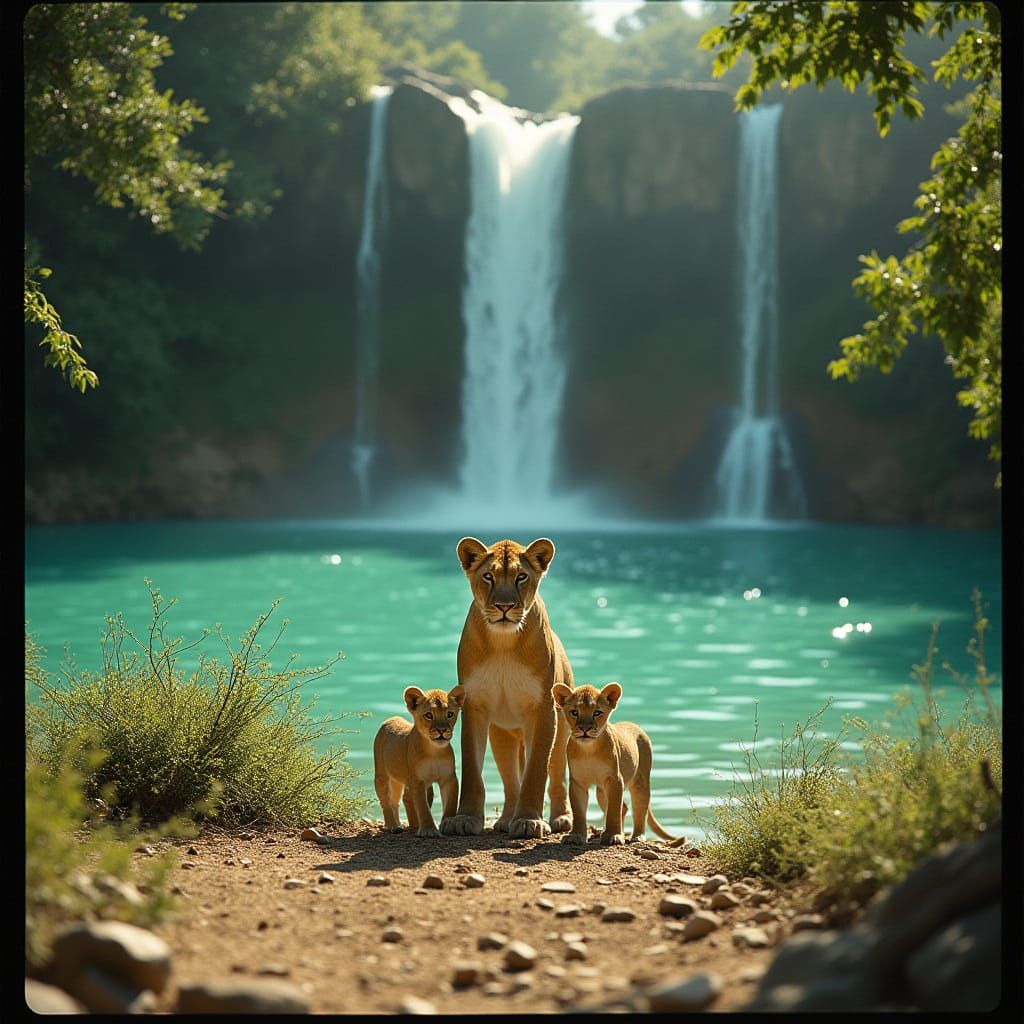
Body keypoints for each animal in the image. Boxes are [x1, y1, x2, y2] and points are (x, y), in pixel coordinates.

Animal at [373, 685, 465, 837]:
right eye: (429, 715)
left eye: (450, 714)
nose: (442, 731)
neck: (434, 751)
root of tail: (391, 718)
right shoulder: (418, 780)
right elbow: (423, 807)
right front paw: (429, 830)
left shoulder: (449, 778)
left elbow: (450, 803)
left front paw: (448, 823)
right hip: (381, 774)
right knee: (386, 801)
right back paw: (393, 825)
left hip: (399, 780)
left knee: (399, 799)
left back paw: (408, 824)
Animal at [440, 537, 573, 840]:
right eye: (488, 577)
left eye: (521, 577)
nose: (504, 606)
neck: (503, 643)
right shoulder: (474, 706)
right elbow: (472, 768)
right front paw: (465, 818)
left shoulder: (543, 710)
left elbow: (536, 771)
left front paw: (529, 821)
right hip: (502, 735)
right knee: (512, 780)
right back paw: (505, 820)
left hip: (563, 730)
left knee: (557, 775)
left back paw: (561, 818)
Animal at [552, 682, 686, 847]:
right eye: (575, 712)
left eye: (597, 713)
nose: (585, 729)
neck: (588, 749)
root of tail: (635, 725)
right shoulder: (578, 782)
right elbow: (578, 811)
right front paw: (576, 836)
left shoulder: (615, 780)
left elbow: (613, 810)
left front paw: (613, 836)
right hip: (601, 791)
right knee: (624, 807)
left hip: (640, 781)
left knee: (639, 807)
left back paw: (637, 836)